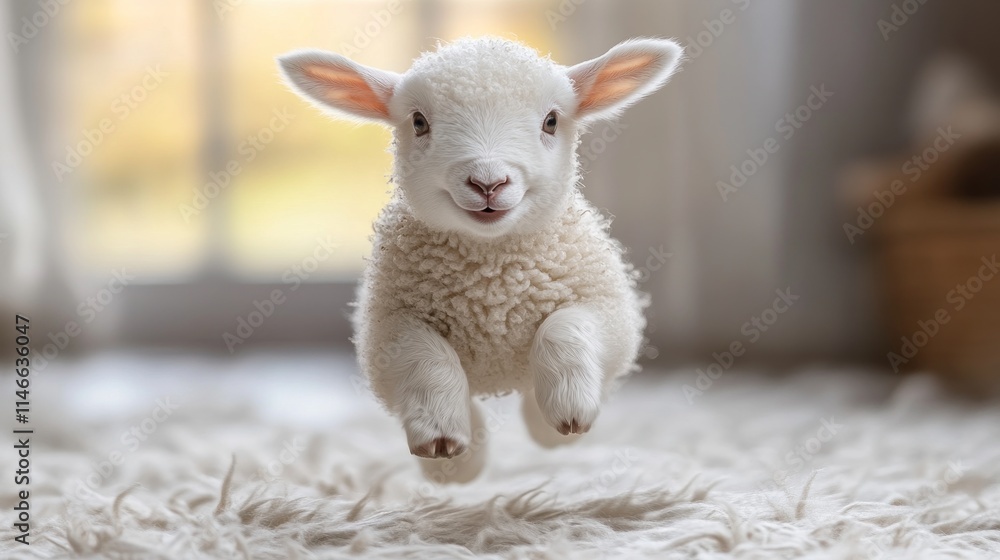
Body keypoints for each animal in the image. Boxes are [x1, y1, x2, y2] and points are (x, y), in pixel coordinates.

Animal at [278, 36, 682, 481]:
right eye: (418, 122)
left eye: (551, 122)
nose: (488, 183)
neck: (491, 274)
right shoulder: (388, 328)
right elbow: (426, 356)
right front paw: (443, 439)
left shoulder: (609, 312)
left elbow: (564, 327)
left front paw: (567, 411)